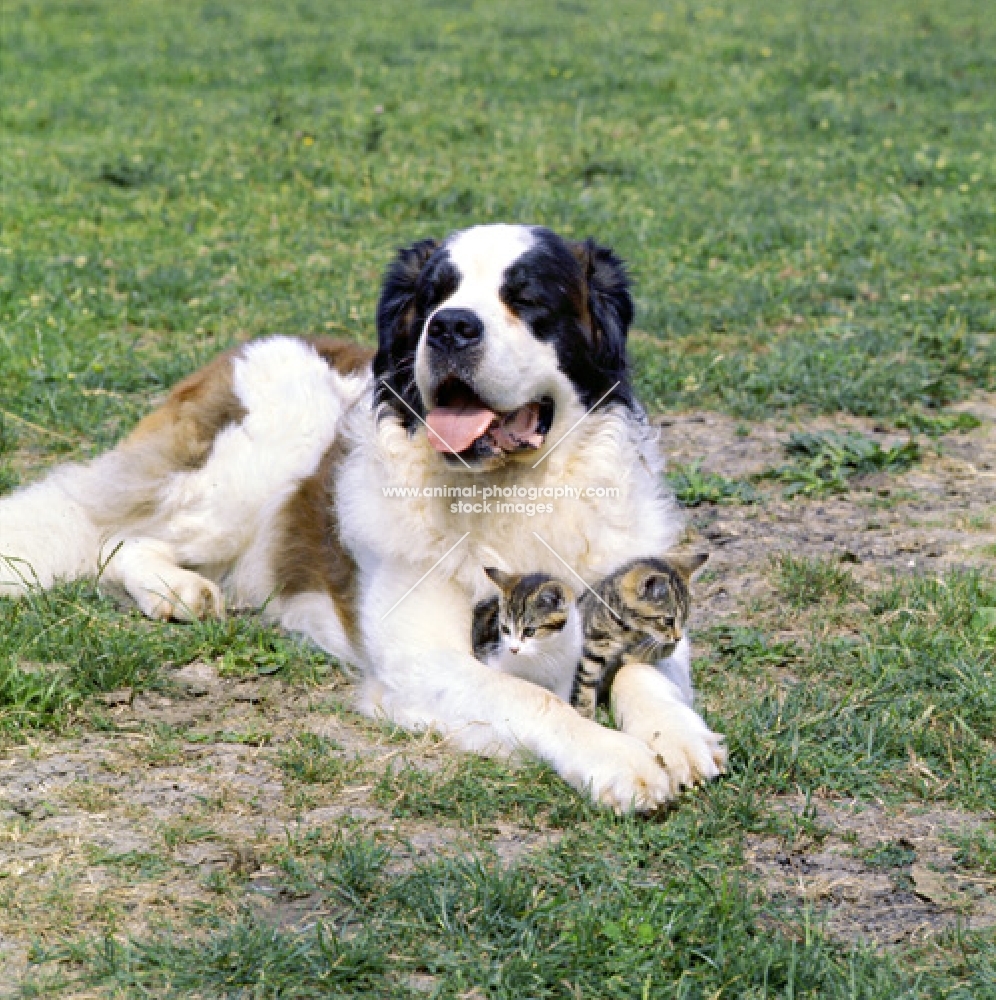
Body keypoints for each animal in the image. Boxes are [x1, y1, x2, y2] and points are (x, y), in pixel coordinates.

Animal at [470, 568, 580, 700]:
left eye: (529, 631)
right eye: (505, 629)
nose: (513, 649)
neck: (546, 649)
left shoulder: (566, 674)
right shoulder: (494, 661)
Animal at [572, 556, 704, 720]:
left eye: (685, 618)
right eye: (668, 621)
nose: (679, 638)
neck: (629, 630)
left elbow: (663, 648)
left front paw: (633, 655)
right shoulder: (591, 650)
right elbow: (585, 691)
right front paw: (586, 717)